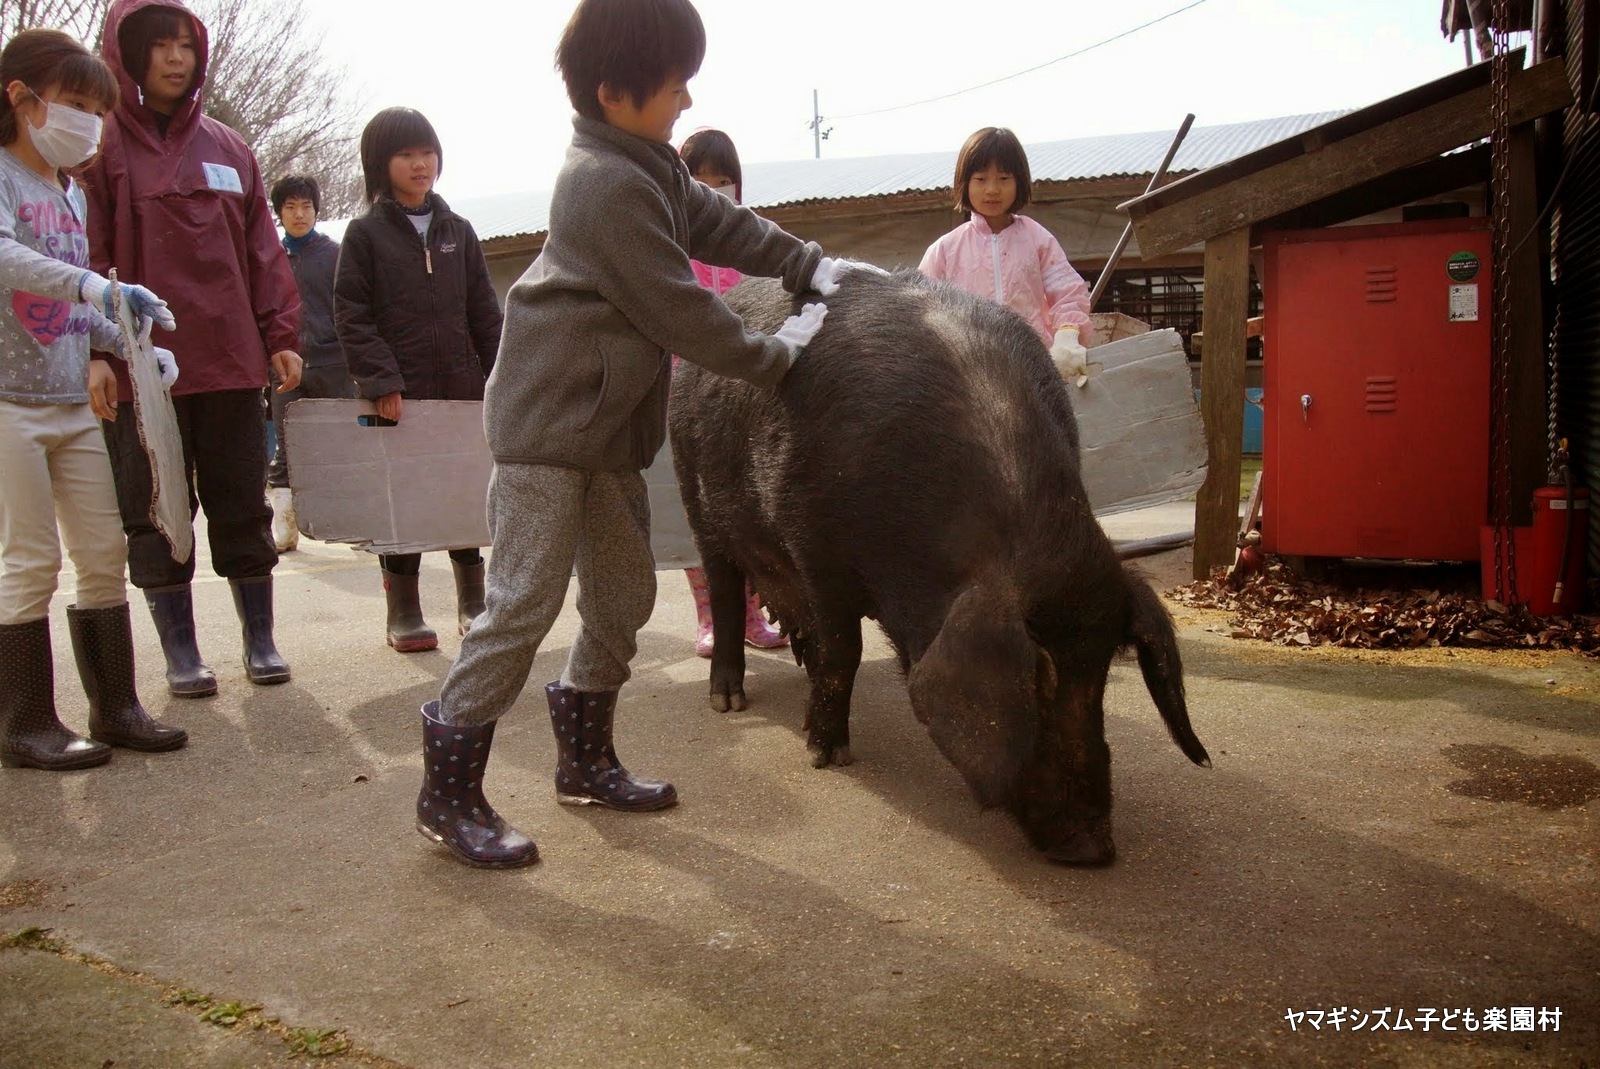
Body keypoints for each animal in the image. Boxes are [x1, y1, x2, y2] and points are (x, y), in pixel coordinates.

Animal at [665, 272, 1209, 864]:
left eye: (1103, 672)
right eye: (1038, 676)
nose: (1093, 847)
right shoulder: (814, 547)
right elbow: (844, 652)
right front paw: (827, 756)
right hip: (696, 499)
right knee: (724, 591)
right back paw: (728, 700)